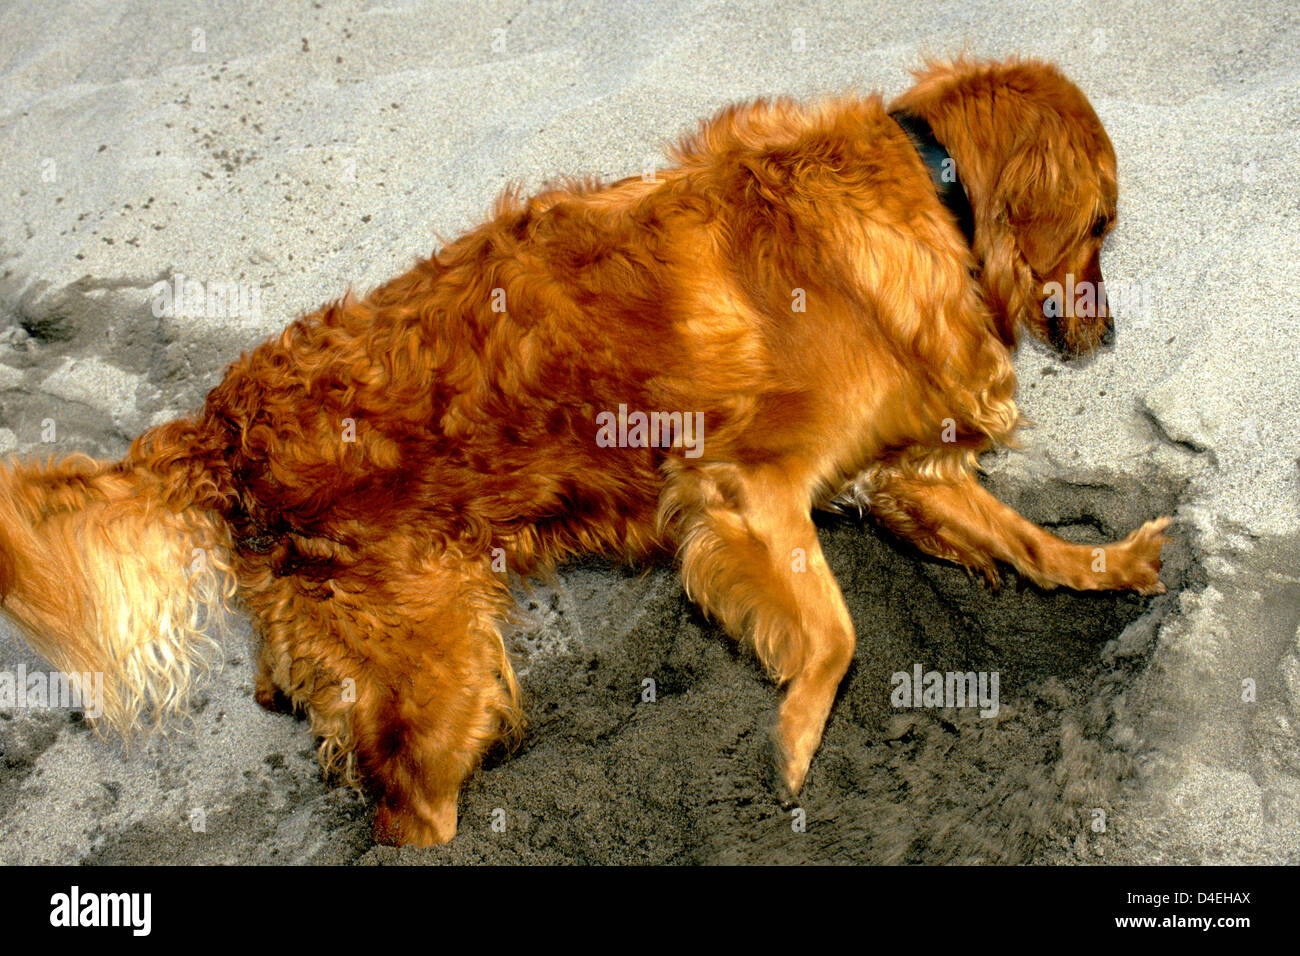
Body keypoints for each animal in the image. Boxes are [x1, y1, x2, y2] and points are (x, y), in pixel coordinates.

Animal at [0, 55, 1170, 848]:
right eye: (1100, 226)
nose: (1111, 334)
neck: (925, 181)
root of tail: (223, 421)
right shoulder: (745, 489)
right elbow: (835, 634)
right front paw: (793, 742)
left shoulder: (891, 473)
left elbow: (1027, 541)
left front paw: (1115, 563)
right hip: (446, 678)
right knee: (409, 807)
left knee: (300, 692)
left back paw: (280, 690)